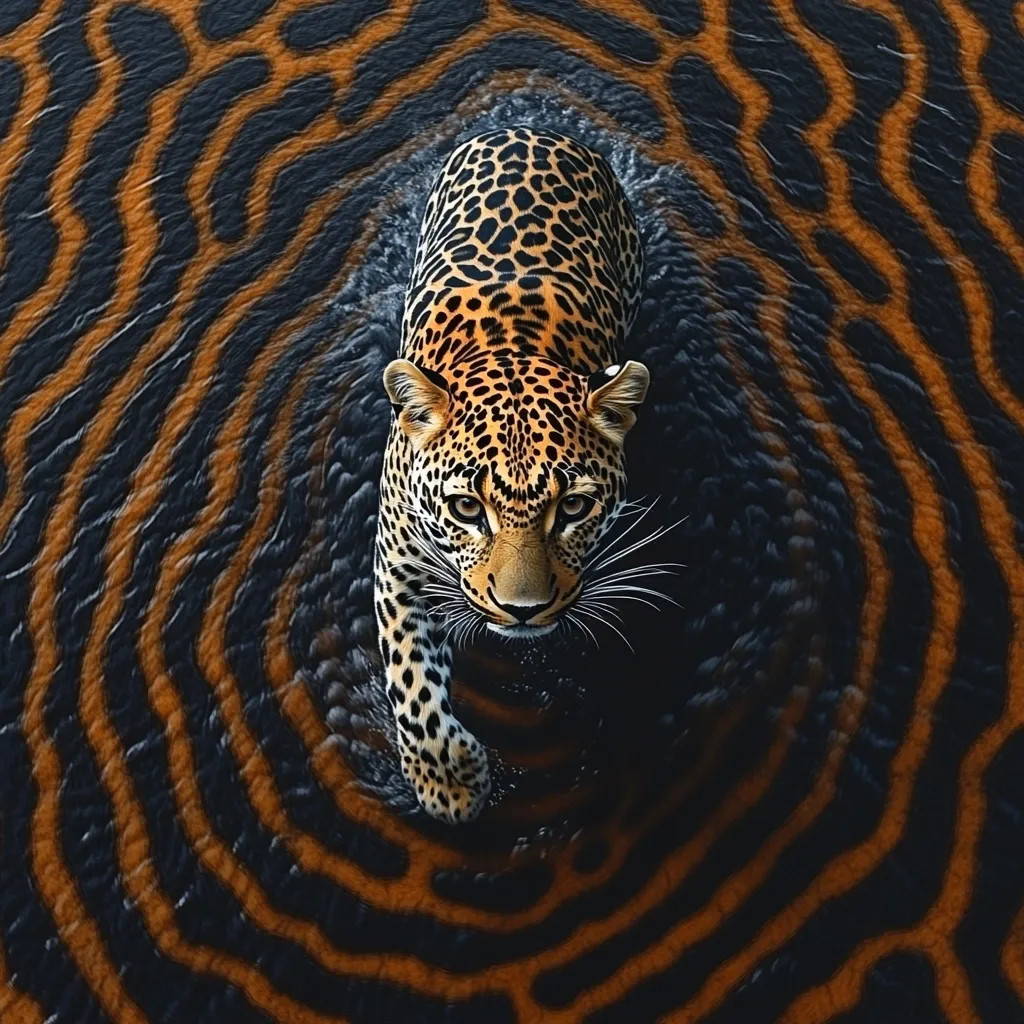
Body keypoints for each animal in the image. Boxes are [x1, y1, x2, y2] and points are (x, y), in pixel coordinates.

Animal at [375, 126, 648, 823]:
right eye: (467, 509)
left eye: (573, 507)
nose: (522, 612)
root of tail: (530, 128)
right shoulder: (395, 559)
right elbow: (408, 667)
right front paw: (446, 776)